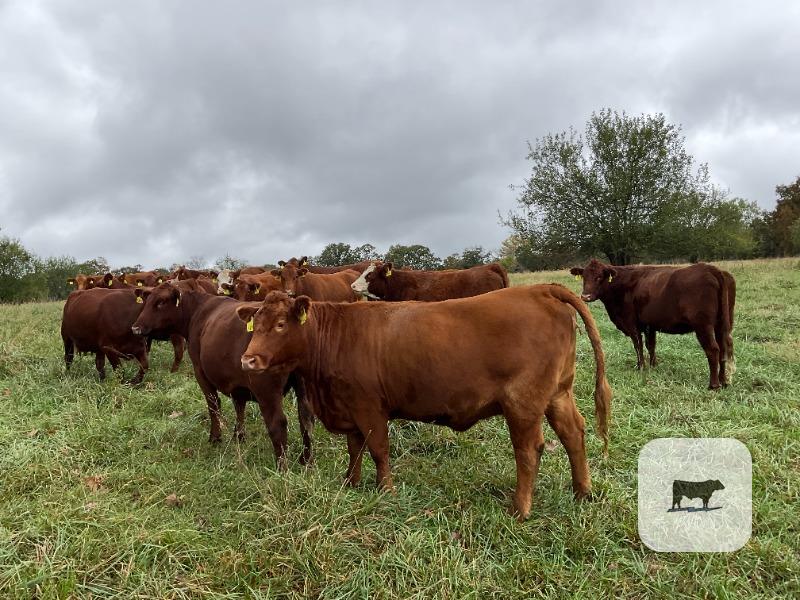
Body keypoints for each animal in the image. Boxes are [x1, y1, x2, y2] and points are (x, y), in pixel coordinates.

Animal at [130, 280, 314, 467]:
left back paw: (281, 467)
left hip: (267, 392)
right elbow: (239, 405)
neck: (198, 311)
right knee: (306, 420)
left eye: (160, 302)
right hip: (304, 389)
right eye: (147, 301)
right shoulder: (237, 381)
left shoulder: (200, 371)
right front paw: (239, 435)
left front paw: (215, 437)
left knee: (278, 423)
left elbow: (213, 404)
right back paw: (306, 460)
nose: (135, 328)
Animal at [238, 285, 612, 520]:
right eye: (255, 325)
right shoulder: (348, 406)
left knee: (529, 449)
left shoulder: (369, 406)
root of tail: (540, 289)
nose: (248, 360)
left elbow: (378, 449)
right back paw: (582, 493)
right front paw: (350, 484)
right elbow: (355, 449)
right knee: (573, 434)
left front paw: (386, 491)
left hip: (523, 402)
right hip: (558, 394)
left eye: (281, 324)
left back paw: (520, 509)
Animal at [569, 259, 735, 389]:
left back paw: (713, 384)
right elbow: (651, 345)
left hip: (703, 325)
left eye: (599, 277)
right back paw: (724, 381)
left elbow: (638, 345)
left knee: (713, 350)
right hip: (721, 324)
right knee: (723, 349)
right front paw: (653, 365)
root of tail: (712, 269)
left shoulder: (631, 323)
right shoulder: (650, 325)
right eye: (584, 277)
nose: (585, 296)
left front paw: (641, 367)